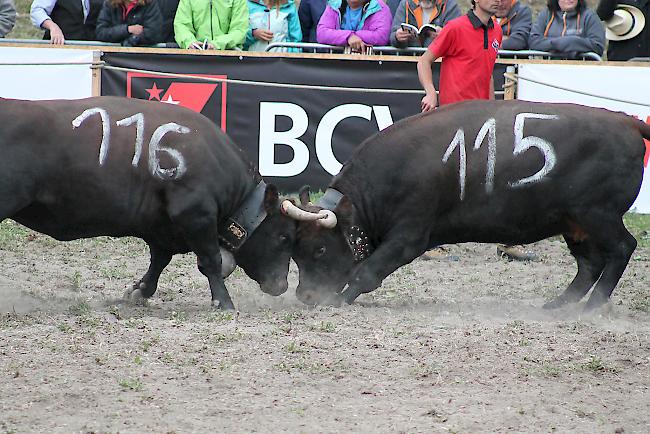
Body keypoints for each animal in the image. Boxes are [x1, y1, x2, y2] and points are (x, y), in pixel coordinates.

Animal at [1, 98, 294, 308]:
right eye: (283, 237)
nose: (281, 285)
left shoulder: (161, 226)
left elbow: (159, 260)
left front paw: (140, 290)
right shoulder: (195, 216)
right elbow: (211, 260)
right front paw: (223, 302)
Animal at [288, 99, 648, 308]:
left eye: (320, 249)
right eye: (296, 253)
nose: (305, 295)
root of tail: (626, 121)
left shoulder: (409, 237)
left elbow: (367, 272)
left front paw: (338, 299)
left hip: (598, 215)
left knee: (621, 248)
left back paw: (592, 306)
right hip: (574, 222)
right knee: (589, 264)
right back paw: (559, 305)